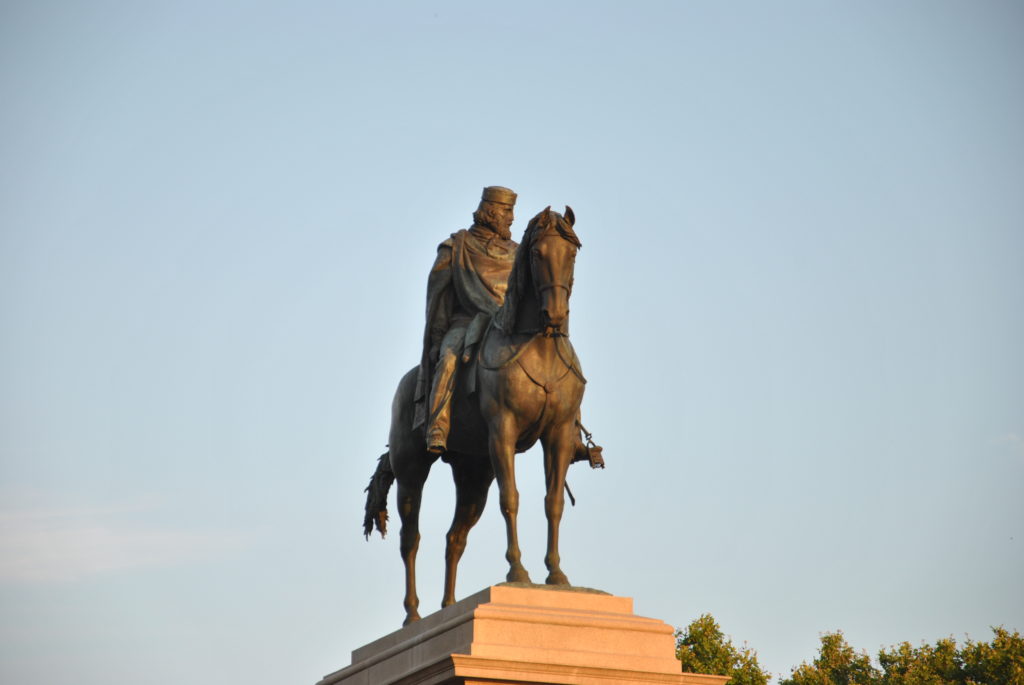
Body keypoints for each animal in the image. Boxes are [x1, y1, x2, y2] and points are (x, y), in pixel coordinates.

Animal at [364, 204, 589, 626]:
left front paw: (556, 574)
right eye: (537, 254)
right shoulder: (502, 432)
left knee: (455, 538)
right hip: (411, 471)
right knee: (410, 538)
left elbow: (552, 501)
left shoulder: (559, 435)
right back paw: (413, 615)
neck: (538, 346)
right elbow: (511, 497)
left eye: (572, 253)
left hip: (473, 475)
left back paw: (449, 605)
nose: (555, 314)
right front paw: (518, 572)